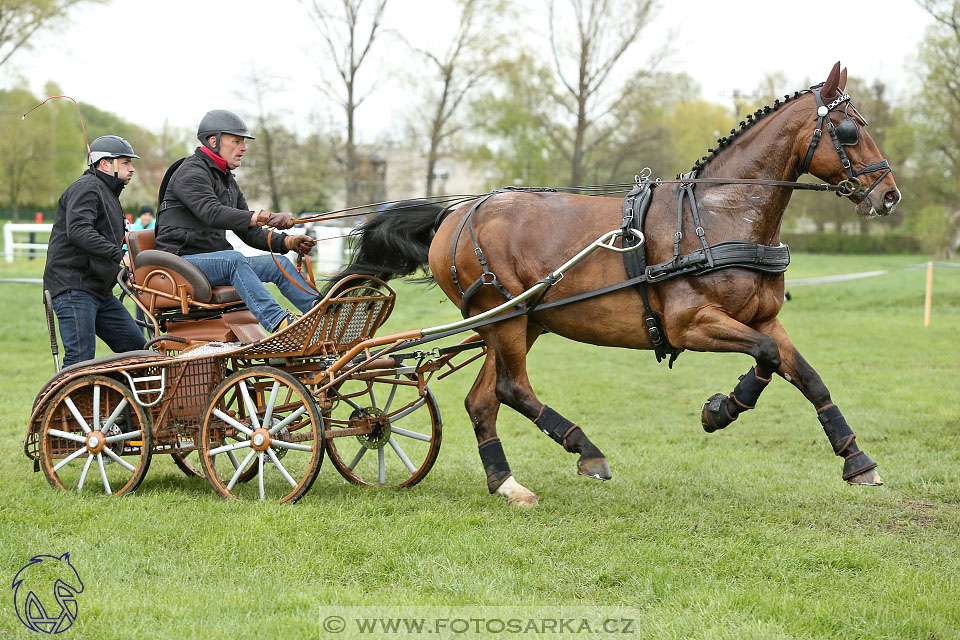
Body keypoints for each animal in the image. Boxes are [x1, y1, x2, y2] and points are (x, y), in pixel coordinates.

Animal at [328, 63, 900, 504]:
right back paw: (585, 451)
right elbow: (766, 357)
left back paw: (506, 482)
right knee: (512, 389)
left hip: (521, 322)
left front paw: (856, 458)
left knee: (483, 400)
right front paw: (721, 410)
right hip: (506, 316)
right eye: (849, 131)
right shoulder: (691, 324)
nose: (889, 194)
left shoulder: (764, 318)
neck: (718, 217)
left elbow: (805, 375)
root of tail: (456, 211)